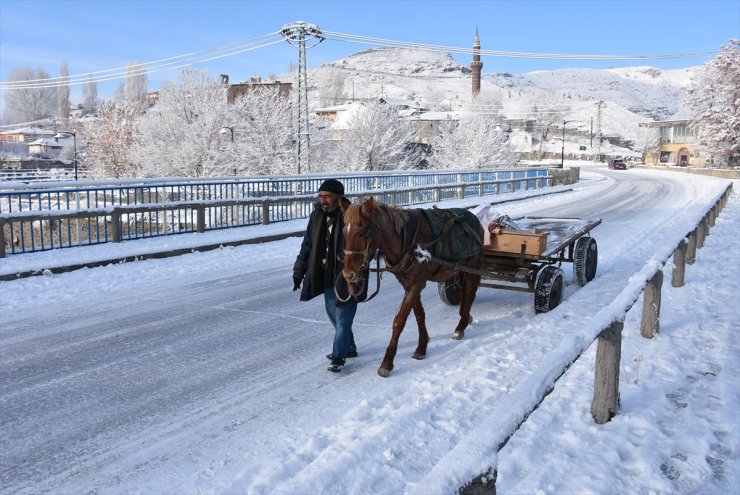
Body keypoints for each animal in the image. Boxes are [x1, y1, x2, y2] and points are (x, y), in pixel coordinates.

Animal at [342, 196, 486, 378]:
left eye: (363, 233)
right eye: (343, 233)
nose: (348, 274)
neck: (407, 241)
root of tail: (475, 219)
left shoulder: (416, 283)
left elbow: (399, 321)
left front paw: (387, 363)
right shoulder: (408, 283)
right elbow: (419, 314)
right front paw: (422, 346)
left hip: (471, 266)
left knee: (470, 290)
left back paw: (461, 326)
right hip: (459, 269)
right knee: (465, 293)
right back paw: (465, 318)